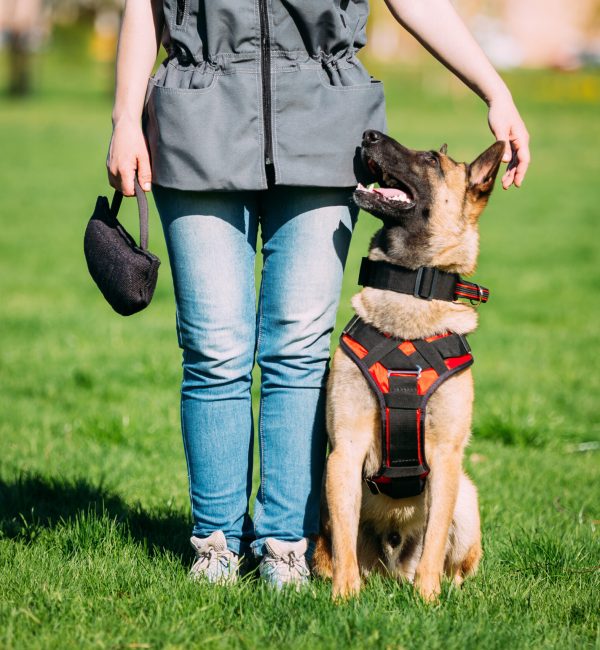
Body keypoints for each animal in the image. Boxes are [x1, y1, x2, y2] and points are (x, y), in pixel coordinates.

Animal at [312, 129, 504, 600]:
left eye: (432, 160)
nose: (367, 135)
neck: (411, 289)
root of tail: (392, 570)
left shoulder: (446, 457)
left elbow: (434, 543)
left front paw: (427, 600)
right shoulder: (344, 451)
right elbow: (343, 540)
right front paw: (344, 598)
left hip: (467, 497)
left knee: (454, 562)